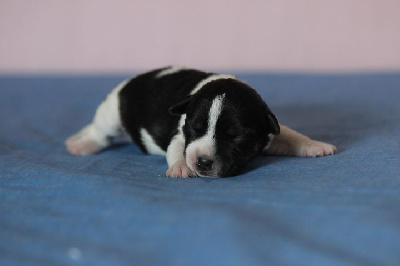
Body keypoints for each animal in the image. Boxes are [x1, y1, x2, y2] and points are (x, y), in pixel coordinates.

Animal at [66, 66, 338, 178]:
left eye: (237, 136)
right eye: (194, 129)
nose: (203, 162)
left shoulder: (266, 127)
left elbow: (289, 135)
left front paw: (314, 145)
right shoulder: (180, 134)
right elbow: (178, 149)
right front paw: (182, 167)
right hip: (113, 111)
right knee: (99, 131)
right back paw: (80, 144)